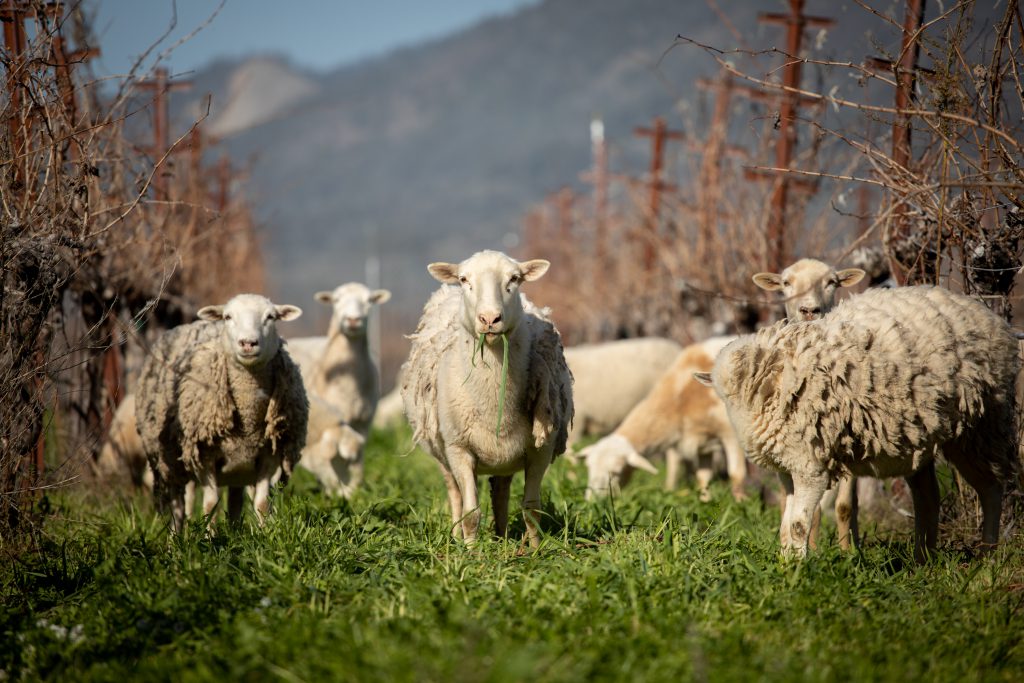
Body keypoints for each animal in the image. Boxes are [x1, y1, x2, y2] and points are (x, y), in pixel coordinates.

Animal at [138, 290, 309, 532]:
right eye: (228, 317)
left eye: (271, 317)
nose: (248, 343)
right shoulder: (205, 456)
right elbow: (210, 504)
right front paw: (210, 538)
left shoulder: (269, 455)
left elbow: (261, 503)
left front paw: (265, 535)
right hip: (168, 462)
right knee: (178, 506)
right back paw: (176, 538)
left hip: (237, 468)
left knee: (235, 502)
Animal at [401, 248, 577, 548]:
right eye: (464, 279)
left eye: (515, 278)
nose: (489, 319)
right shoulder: (459, 448)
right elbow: (471, 513)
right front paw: (471, 553)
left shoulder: (540, 448)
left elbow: (532, 509)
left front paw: (536, 551)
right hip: (440, 450)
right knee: (455, 495)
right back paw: (456, 538)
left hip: (504, 456)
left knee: (501, 493)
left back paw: (502, 538)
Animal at [585, 335, 745, 501]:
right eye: (589, 468)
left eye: (615, 472)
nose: (591, 501)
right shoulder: (702, 443)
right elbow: (703, 479)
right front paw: (706, 502)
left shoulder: (731, 435)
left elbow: (736, 474)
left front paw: (739, 504)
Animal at [696, 286, 1015, 565]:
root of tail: (987, 314)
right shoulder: (785, 467)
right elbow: (786, 523)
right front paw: (784, 563)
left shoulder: (809, 464)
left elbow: (798, 523)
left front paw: (796, 571)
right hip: (918, 436)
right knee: (928, 497)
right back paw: (922, 561)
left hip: (982, 425)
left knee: (990, 489)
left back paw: (987, 557)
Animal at [753, 255, 864, 548]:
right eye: (786, 283)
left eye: (831, 282)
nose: (809, 310)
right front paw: (812, 549)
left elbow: (844, 505)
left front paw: (847, 553)